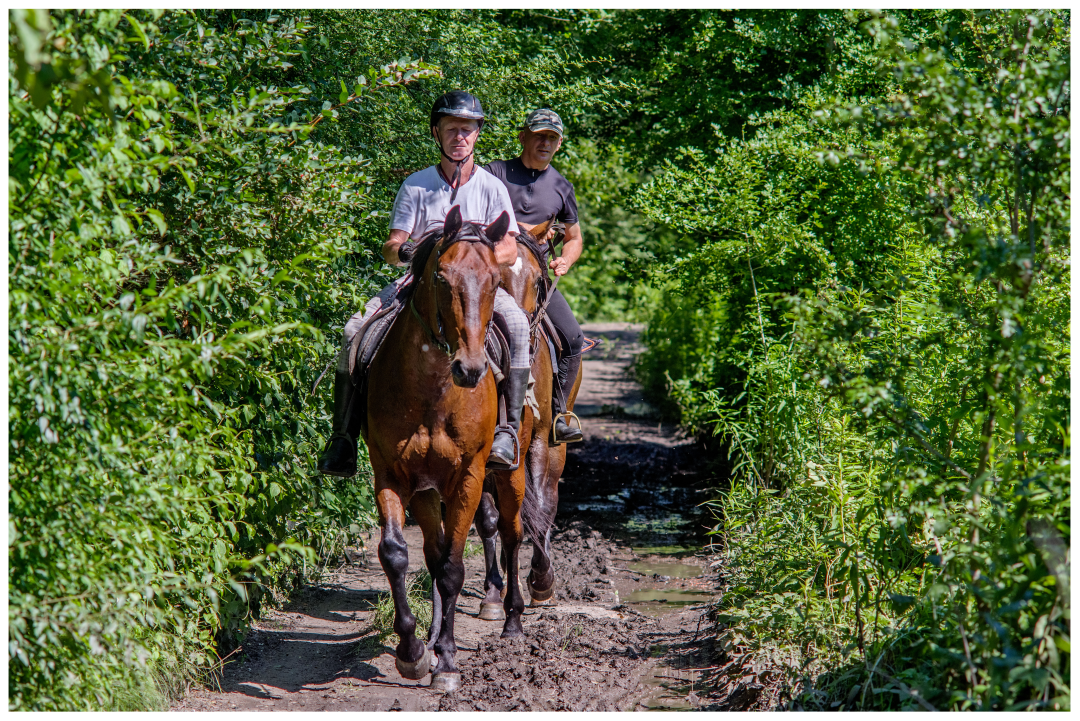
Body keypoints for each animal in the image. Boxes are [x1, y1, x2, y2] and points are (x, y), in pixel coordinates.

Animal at [363, 205, 527, 693]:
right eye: (440, 277)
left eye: (493, 280)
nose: (470, 369)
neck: (433, 392)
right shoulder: (393, 475)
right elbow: (398, 555)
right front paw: (414, 653)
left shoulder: (468, 478)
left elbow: (454, 568)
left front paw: (449, 663)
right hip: (426, 492)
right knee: (434, 555)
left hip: (511, 474)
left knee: (512, 533)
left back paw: (512, 619)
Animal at [473, 217, 583, 615]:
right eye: (497, 277)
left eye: (538, 280)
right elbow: (489, 519)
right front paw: (493, 594)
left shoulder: (535, 442)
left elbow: (537, 508)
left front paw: (541, 580)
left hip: (556, 446)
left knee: (547, 500)